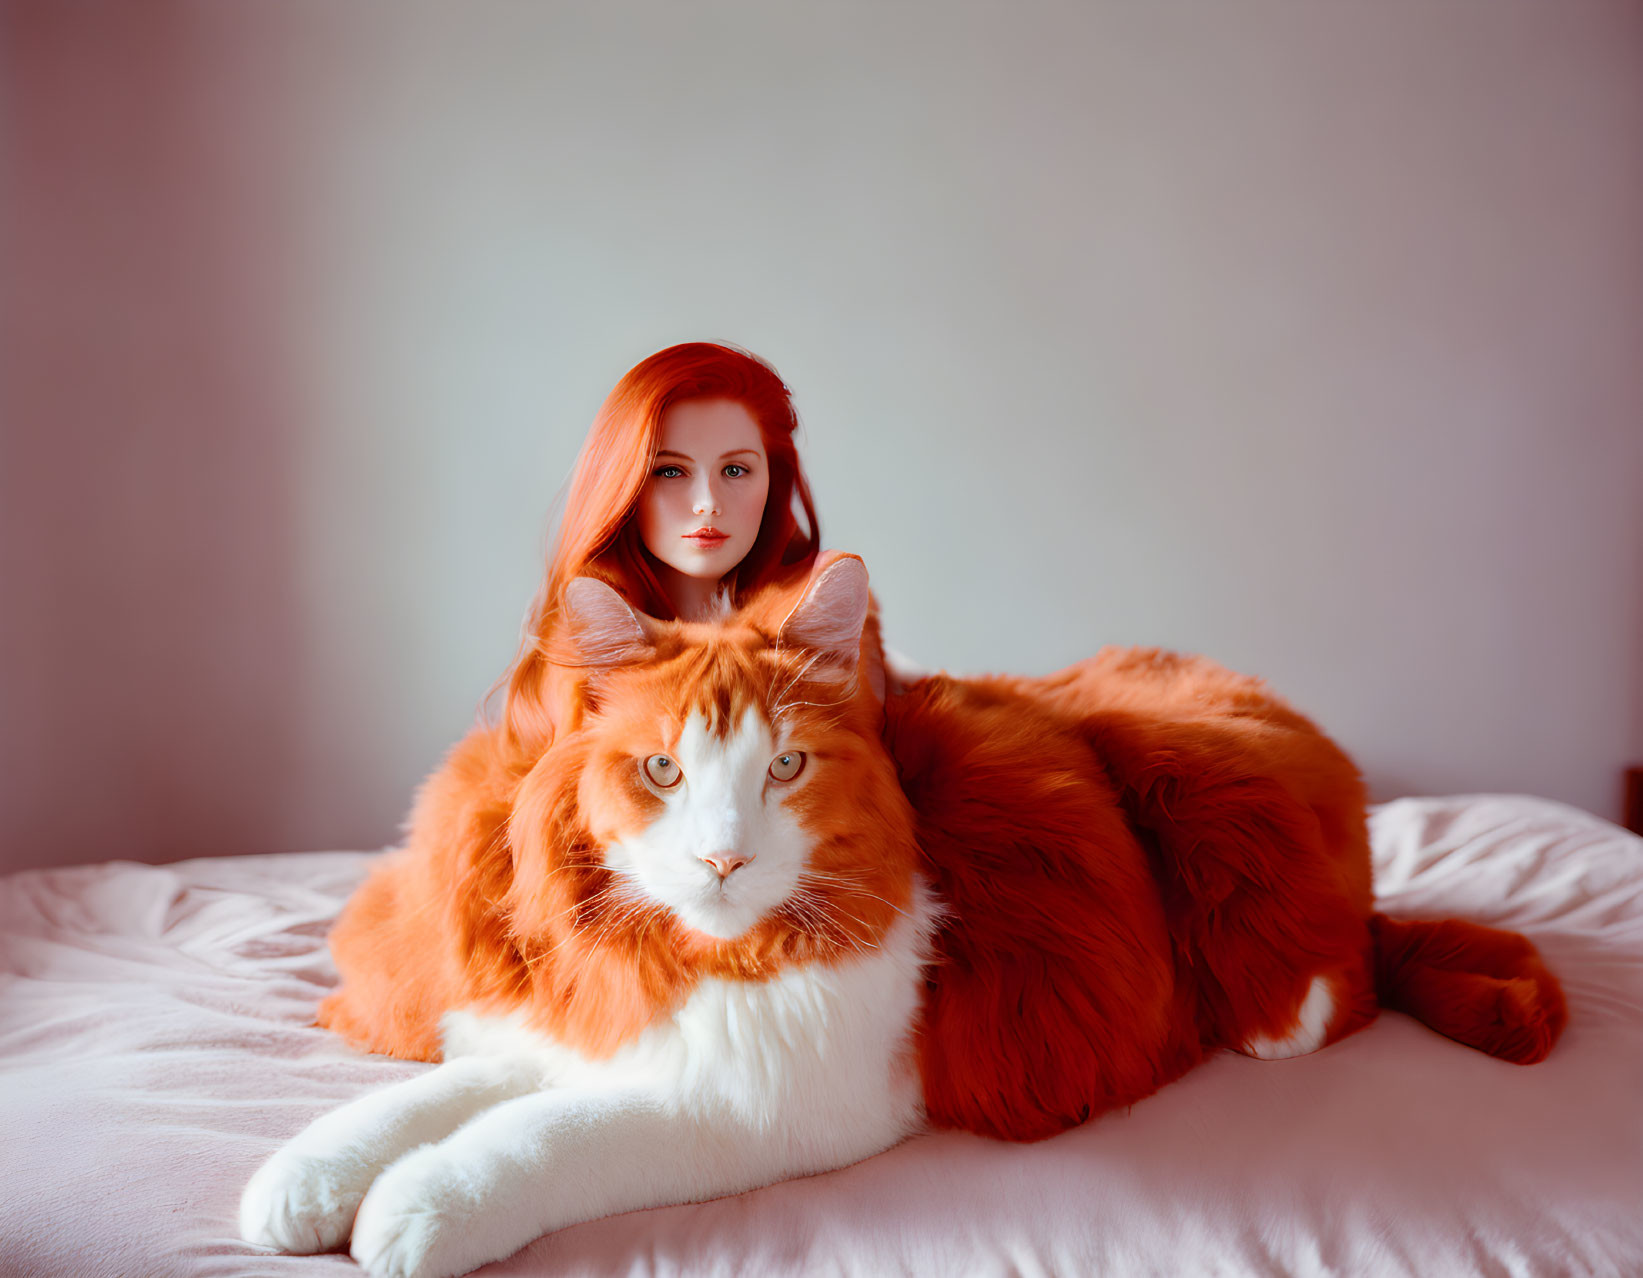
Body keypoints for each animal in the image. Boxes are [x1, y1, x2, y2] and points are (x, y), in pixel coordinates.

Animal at [239, 551, 1564, 1274]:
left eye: (784, 768)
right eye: (660, 770)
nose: (720, 862)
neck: (687, 962)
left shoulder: (764, 1104)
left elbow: (543, 1140)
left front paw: (414, 1210)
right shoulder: (596, 1029)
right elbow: (430, 1099)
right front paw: (305, 1178)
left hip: (1228, 846)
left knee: (1341, 980)